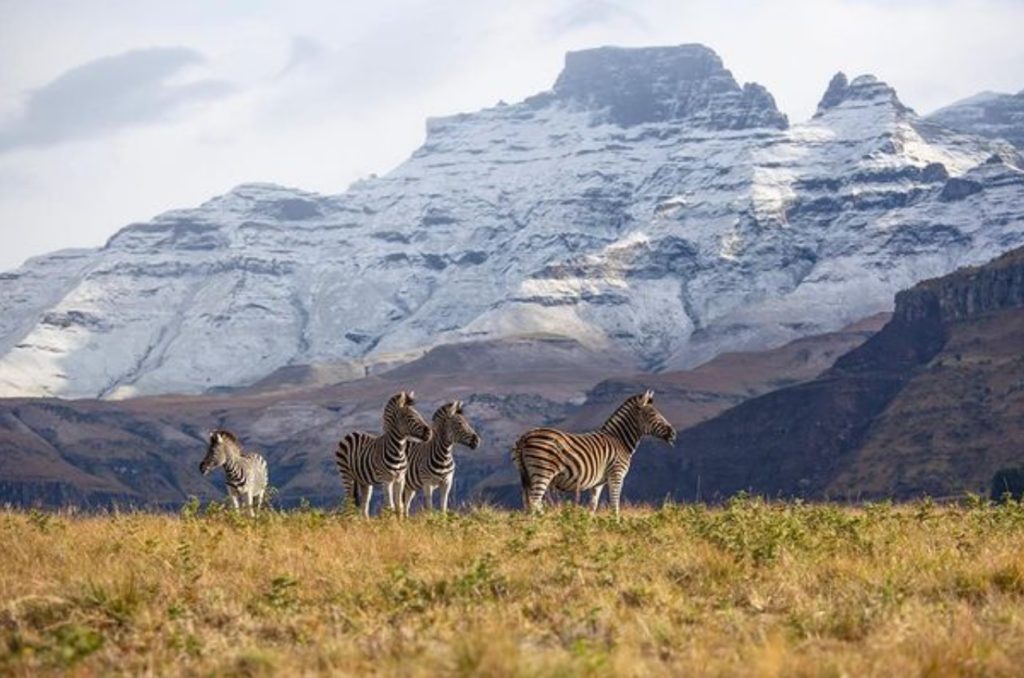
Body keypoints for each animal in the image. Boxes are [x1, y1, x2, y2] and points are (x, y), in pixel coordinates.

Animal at [509, 391, 671, 518]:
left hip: (526, 474)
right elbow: (615, 504)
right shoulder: (616, 475)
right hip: (543, 471)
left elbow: (593, 505)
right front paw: (616, 523)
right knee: (535, 501)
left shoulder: (598, 482)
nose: (673, 433)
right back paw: (546, 521)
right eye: (653, 414)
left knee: (527, 502)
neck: (620, 441)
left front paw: (590, 525)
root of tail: (525, 437)